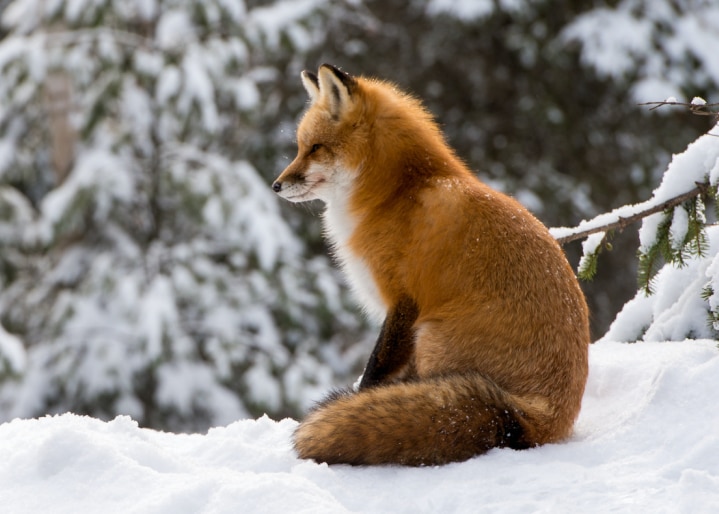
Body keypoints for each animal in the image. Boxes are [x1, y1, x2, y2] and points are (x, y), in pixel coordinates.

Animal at [272, 64, 590, 466]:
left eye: (315, 148)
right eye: (300, 147)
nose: (276, 185)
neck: (395, 194)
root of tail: (540, 419)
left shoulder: (403, 301)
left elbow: (375, 370)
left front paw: (359, 401)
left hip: (430, 337)